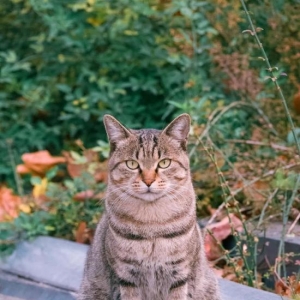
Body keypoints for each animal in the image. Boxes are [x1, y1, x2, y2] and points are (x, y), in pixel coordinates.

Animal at [78, 113, 221, 298]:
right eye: (132, 164)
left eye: (164, 163)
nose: (148, 181)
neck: (151, 221)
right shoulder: (126, 275)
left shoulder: (179, 273)